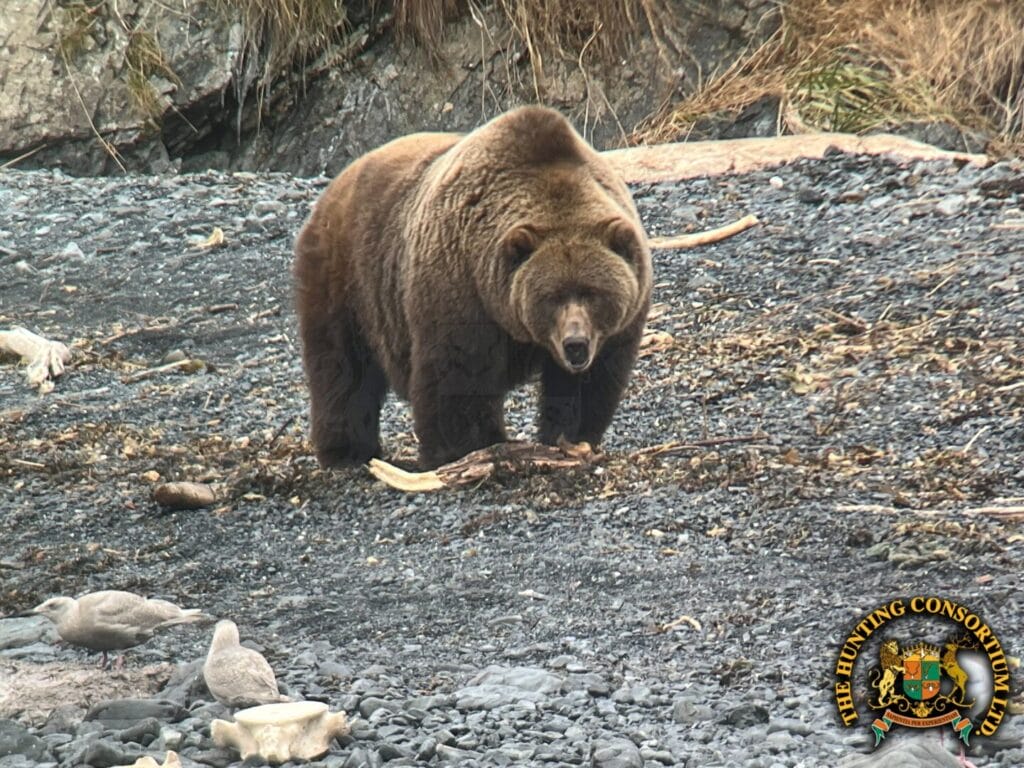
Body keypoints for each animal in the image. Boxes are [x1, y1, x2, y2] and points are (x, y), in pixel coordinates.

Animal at [293, 105, 652, 469]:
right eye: (551, 297)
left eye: (593, 293)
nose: (575, 344)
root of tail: (337, 184)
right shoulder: (459, 287)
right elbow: (458, 378)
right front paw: (466, 449)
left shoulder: (616, 325)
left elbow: (587, 385)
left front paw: (570, 438)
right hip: (350, 275)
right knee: (342, 366)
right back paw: (347, 450)